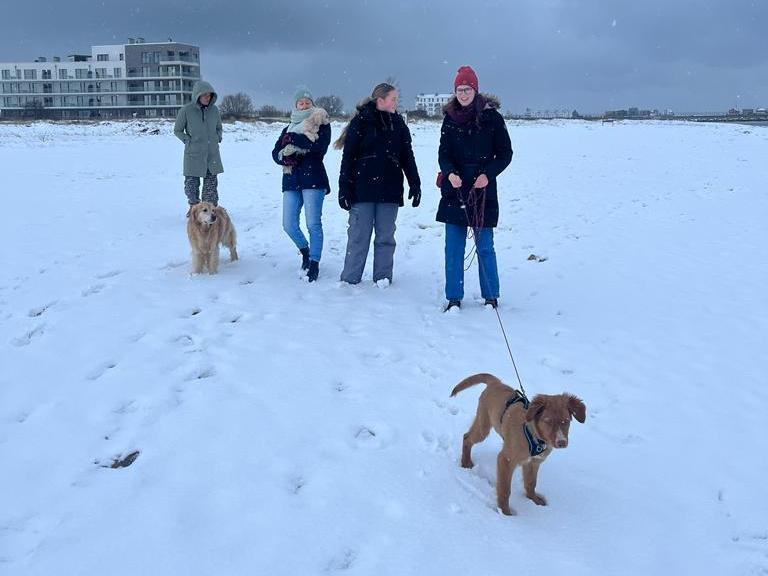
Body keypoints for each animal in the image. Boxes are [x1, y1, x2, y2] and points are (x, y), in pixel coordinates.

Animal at [452, 374, 584, 516]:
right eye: (547, 421)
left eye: (566, 421)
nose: (562, 442)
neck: (534, 436)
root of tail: (496, 382)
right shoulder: (505, 460)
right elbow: (505, 490)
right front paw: (505, 513)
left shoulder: (533, 462)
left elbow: (531, 483)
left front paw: (534, 500)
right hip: (483, 426)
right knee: (467, 437)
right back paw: (466, 462)